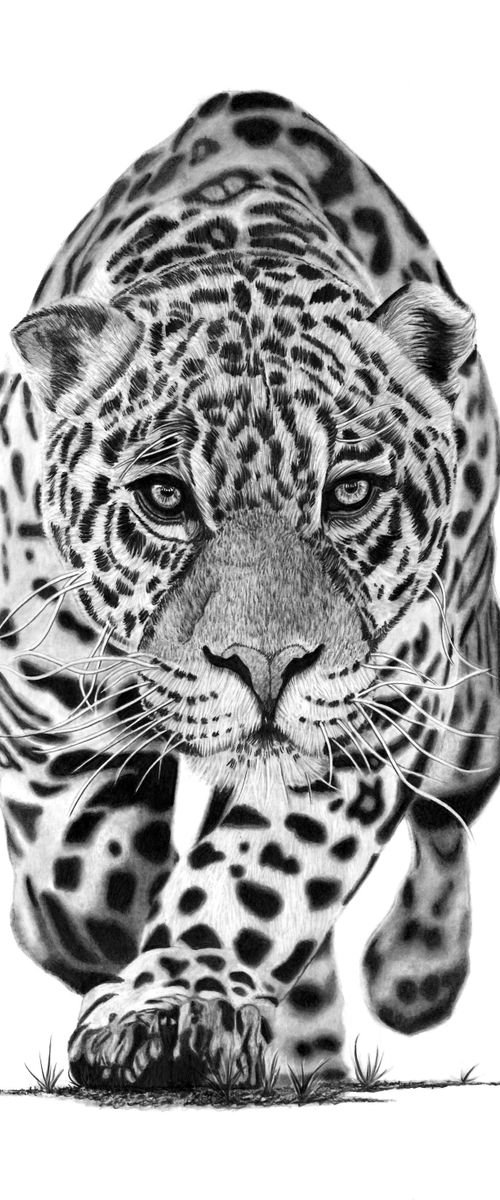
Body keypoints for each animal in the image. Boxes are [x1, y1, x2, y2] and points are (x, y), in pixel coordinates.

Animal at [1, 90, 499, 1090]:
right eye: (163, 499)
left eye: (349, 493)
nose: (266, 666)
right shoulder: (40, 700)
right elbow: (81, 868)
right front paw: (95, 933)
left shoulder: (371, 711)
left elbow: (257, 873)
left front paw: (168, 1006)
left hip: (469, 713)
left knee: (450, 814)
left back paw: (415, 973)